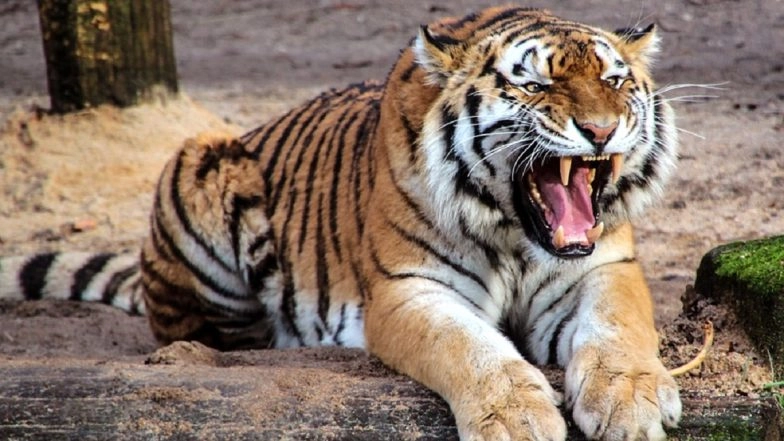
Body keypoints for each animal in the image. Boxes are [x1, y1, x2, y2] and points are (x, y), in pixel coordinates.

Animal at [0, 6, 683, 440]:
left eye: (614, 80)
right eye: (536, 85)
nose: (601, 130)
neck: (516, 234)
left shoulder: (604, 267)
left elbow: (619, 328)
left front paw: (632, 401)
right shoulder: (408, 290)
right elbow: (470, 348)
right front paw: (518, 420)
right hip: (199, 161)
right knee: (205, 333)